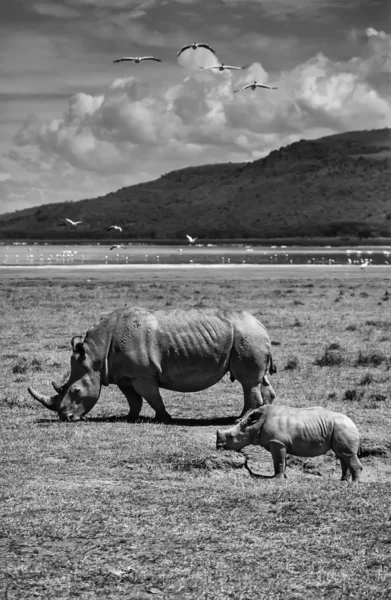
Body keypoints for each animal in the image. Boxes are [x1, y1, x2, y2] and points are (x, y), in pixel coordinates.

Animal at [27, 310, 276, 422]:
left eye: (76, 391)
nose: (65, 417)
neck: (96, 354)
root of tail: (262, 325)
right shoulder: (123, 375)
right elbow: (133, 399)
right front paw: (129, 418)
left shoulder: (142, 374)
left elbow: (152, 397)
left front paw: (164, 418)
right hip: (250, 336)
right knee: (260, 381)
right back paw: (260, 417)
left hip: (247, 337)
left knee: (248, 382)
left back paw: (241, 420)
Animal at [216, 404, 362, 482]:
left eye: (231, 436)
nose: (218, 446)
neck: (255, 425)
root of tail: (353, 423)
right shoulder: (281, 443)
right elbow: (282, 460)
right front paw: (284, 477)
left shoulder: (277, 442)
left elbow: (278, 461)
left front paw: (276, 478)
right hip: (339, 428)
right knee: (342, 455)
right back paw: (343, 481)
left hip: (342, 427)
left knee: (346, 455)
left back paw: (353, 484)